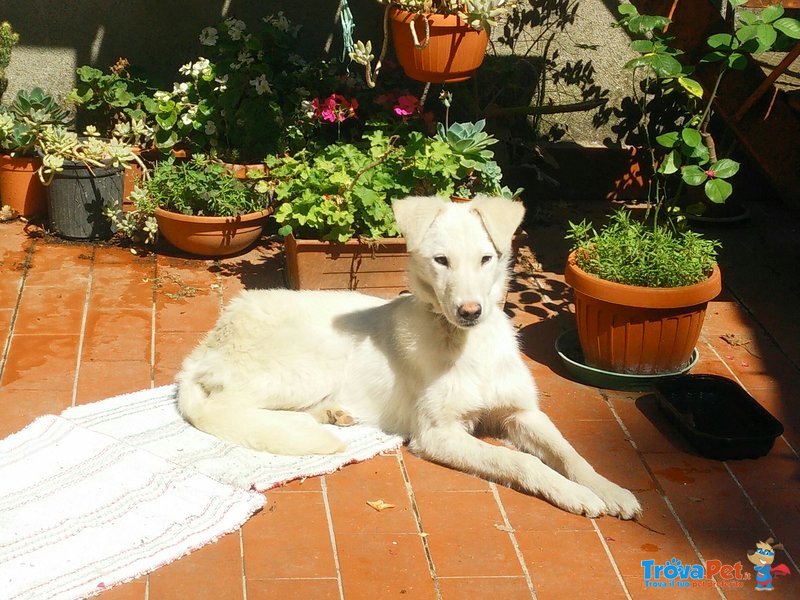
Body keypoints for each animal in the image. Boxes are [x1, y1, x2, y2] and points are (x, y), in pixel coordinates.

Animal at [178, 197, 640, 520]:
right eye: (441, 260)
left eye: (486, 258)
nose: (470, 312)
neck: (466, 345)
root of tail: (207, 344)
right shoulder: (437, 434)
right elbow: (519, 459)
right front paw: (574, 494)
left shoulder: (521, 413)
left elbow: (570, 454)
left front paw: (609, 489)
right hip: (307, 367)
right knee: (225, 407)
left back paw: (333, 414)